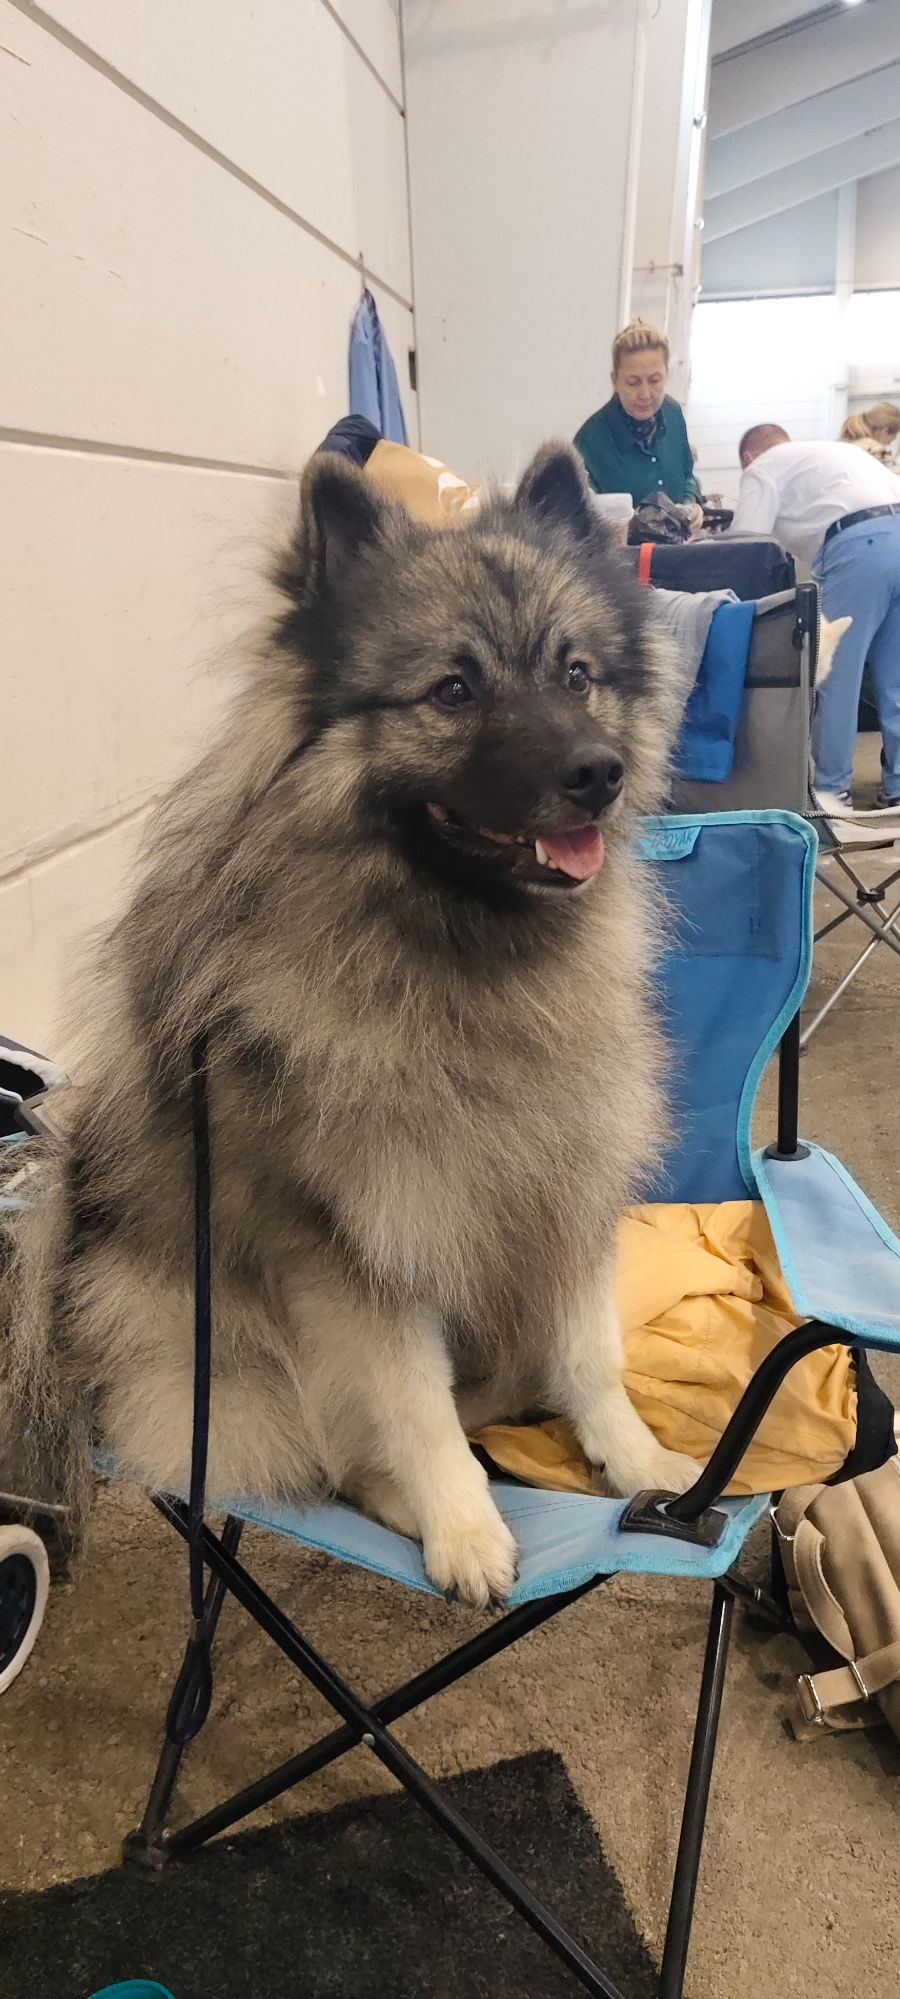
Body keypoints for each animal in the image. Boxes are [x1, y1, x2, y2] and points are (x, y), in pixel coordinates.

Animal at [2, 442, 697, 1607]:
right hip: (212, 1346)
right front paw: (463, 1527)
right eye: (453, 690)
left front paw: (639, 1459)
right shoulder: (354, 1245)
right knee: (329, 1454)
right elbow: (412, 1404)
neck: (459, 953)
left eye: (577, 674)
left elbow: (589, 1352)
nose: (597, 773)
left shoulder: (563, 1190)